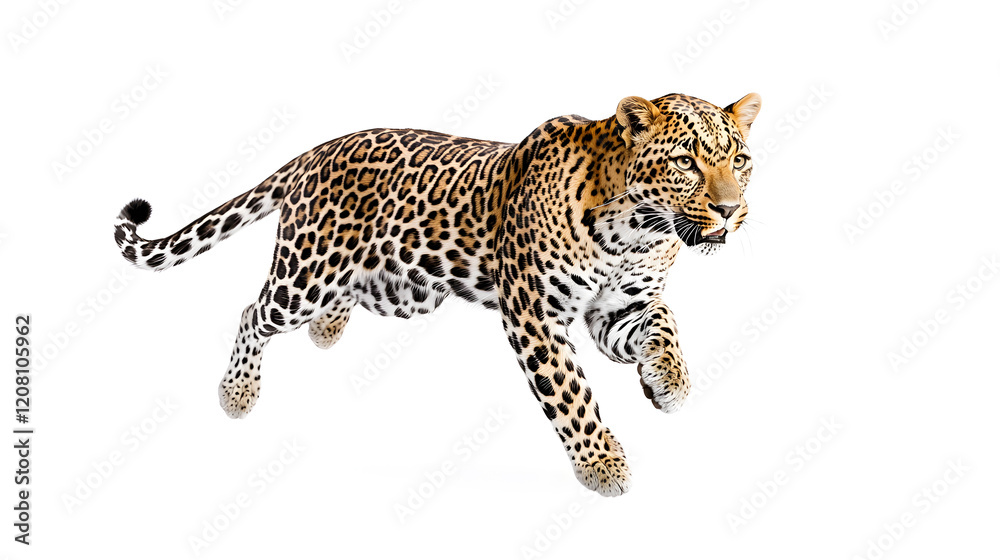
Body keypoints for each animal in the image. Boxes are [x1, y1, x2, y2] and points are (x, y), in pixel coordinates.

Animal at [113, 91, 761, 496]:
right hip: (307, 274)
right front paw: (604, 466)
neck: (638, 230)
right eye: (685, 162)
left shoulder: (618, 308)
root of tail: (316, 152)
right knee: (254, 309)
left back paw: (327, 331)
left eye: (740, 160)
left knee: (341, 300)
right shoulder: (534, 315)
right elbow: (572, 395)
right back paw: (237, 392)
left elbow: (664, 322)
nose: (731, 211)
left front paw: (668, 384)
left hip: (401, 288)